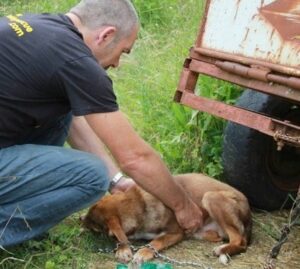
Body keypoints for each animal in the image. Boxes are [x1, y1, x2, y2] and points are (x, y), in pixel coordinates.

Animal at [81, 173, 252, 262]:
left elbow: (157, 240)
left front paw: (144, 251)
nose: (79, 219)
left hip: (211, 197)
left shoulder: (176, 232)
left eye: (95, 228)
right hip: (203, 229)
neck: (141, 204)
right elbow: (121, 237)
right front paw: (123, 249)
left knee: (240, 241)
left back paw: (223, 249)